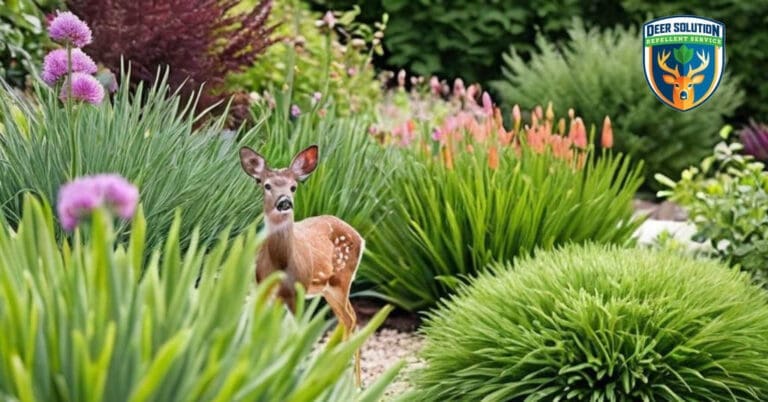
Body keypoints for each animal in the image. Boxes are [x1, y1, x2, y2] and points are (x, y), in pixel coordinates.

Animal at [239, 144, 364, 386]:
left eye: (293, 187)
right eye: (267, 185)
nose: (284, 202)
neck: (281, 265)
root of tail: (361, 237)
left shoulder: (298, 289)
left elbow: (297, 333)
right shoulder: (263, 288)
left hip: (340, 280)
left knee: (349, 320)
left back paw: (349, 383)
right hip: (327, 289)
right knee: (350, 318)